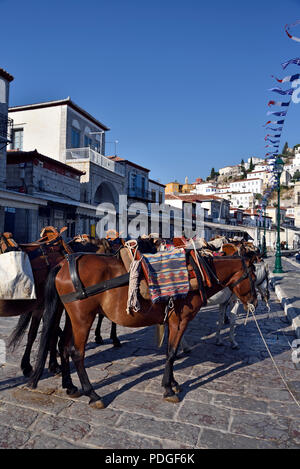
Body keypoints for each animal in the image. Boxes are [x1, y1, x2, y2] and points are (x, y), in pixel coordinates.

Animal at [28, 250, 258, 408]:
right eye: (254, 278)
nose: (255, 300)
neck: (197, 272)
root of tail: (63, 264)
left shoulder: (172, 321)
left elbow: (171, 352)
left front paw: (173, 383)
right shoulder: (180, 321)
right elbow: (171, 353)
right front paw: (168, 388)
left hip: (72, 317)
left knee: (64, 346)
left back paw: (70, 386)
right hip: (83, 318)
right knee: (77, 352)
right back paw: (92, 394)